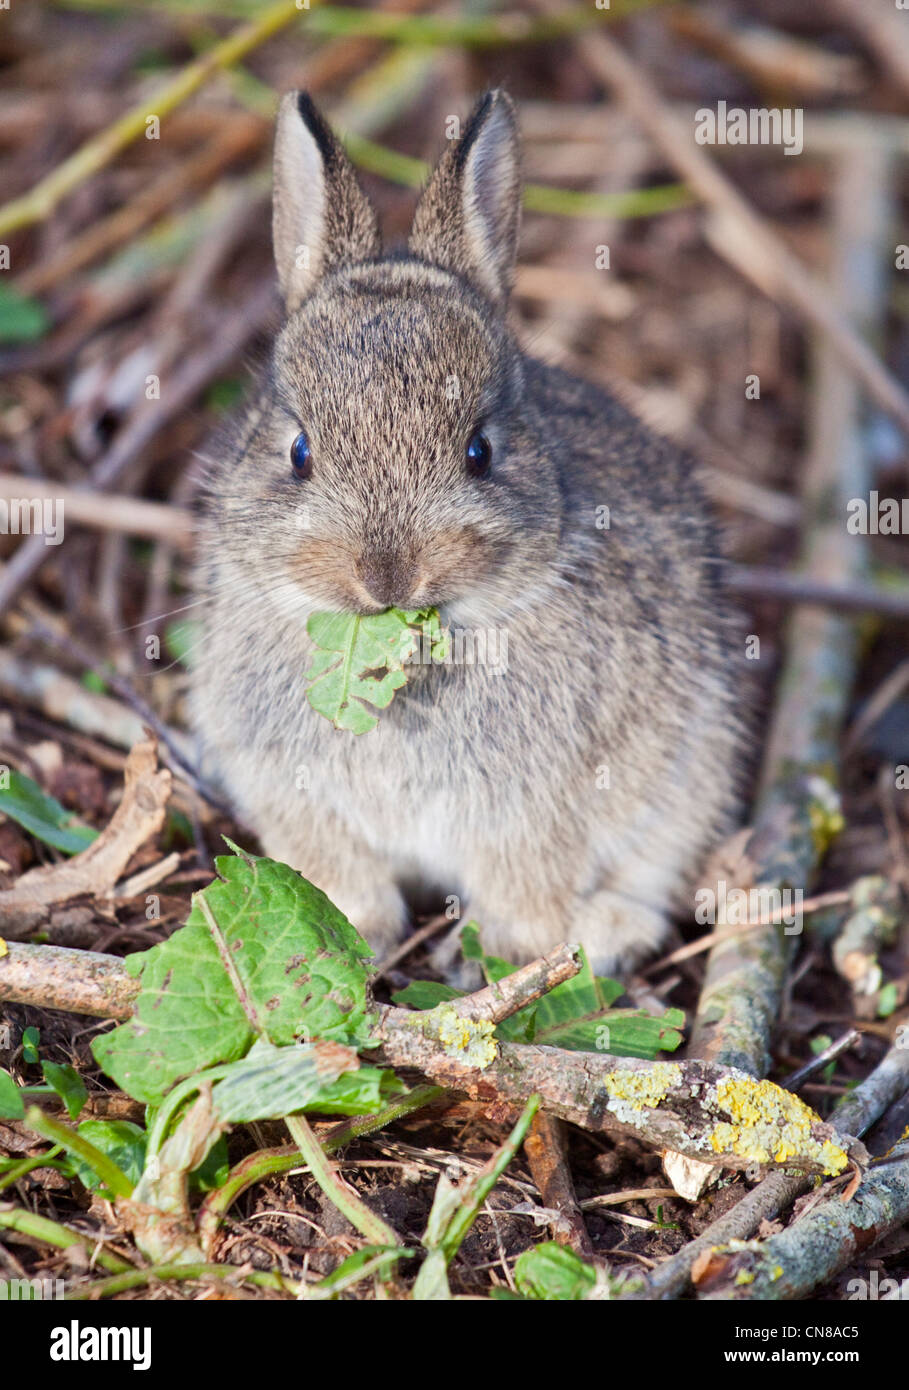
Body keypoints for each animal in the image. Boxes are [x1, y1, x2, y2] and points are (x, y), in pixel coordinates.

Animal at [189, 88, 749, 981]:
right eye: (299, 452)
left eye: (479, 451)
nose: (387, 577)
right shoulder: (293, 797)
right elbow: (340, 877)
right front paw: (356, 935)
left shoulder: (536, 812)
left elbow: (525, 890)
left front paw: (493, 954)